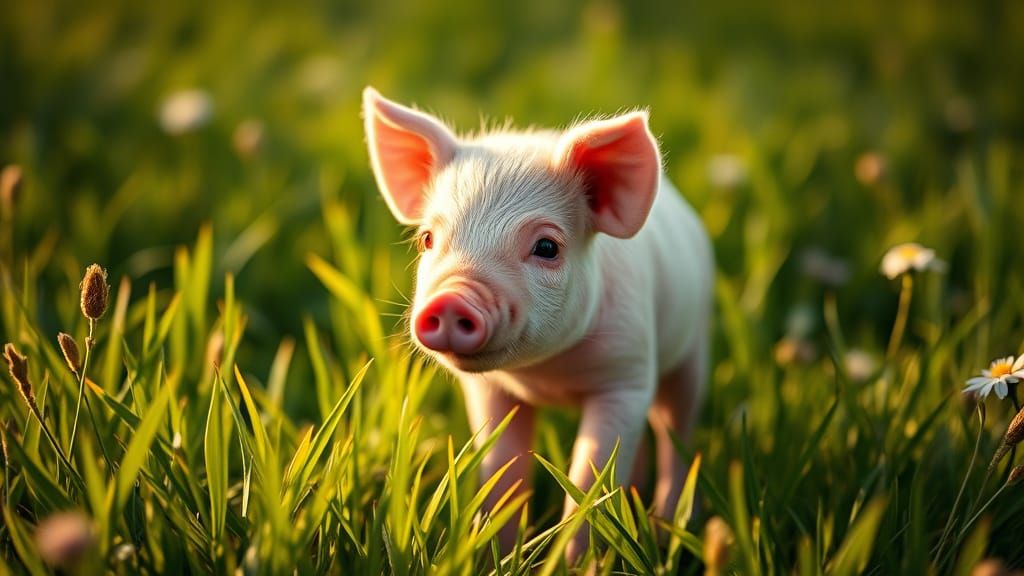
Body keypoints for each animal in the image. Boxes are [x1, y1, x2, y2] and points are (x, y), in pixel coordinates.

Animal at [362, 86, 713, 562]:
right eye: (428, 239)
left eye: (547, 246)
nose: (452, 298)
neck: (547, 376)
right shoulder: (491, 390)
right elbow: (503, 471)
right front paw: (499, 555)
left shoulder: (628, 372)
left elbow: (589, 477)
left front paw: (579, 563)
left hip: (695, 344)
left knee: (674, 428)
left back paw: (669, 528)